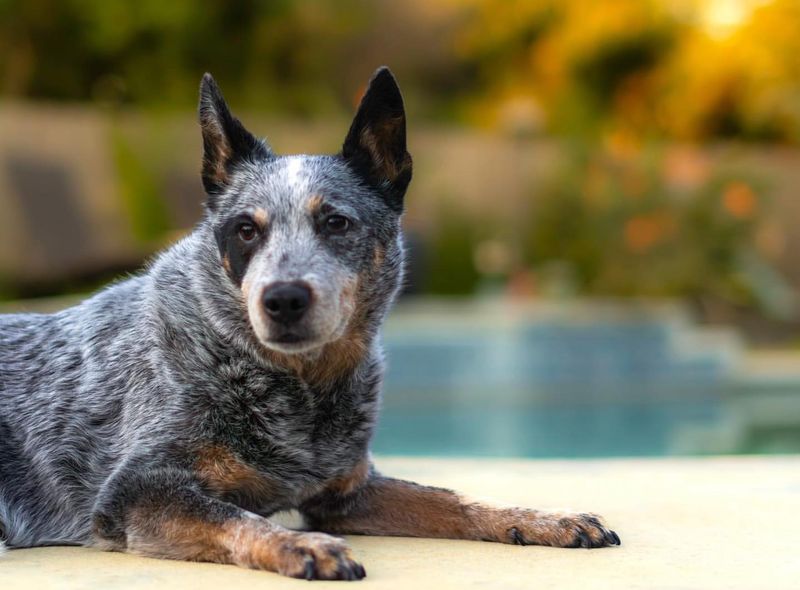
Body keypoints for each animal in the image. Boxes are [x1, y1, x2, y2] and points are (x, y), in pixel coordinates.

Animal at [0, 67, 620, 580]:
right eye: (246, 230)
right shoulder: (134, 488)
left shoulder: (347, 493)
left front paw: (541, 517)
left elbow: (450, 498)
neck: (296, 386)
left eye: (336, 222)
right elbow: (233, 516)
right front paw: (302, 546)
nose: (283, 298)